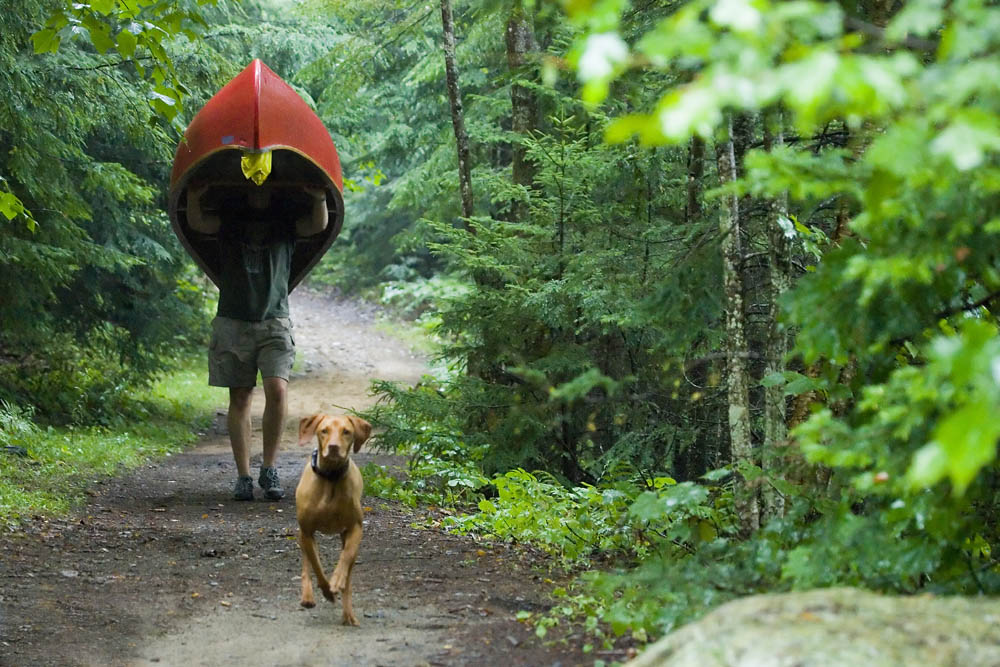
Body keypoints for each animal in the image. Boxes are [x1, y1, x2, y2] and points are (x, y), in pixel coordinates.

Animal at [298, 412, 374, 628]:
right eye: (324, 431)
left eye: (346, 432)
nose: (333, 447)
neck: (331, 479)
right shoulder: (307, 530)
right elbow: (315, 564)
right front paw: (326, 591)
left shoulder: (355, 528)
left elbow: (346, 557)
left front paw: (337, 581)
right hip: (301, 534)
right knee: (306, 561)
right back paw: (308, 596)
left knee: (348, 569)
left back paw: (348, 614)